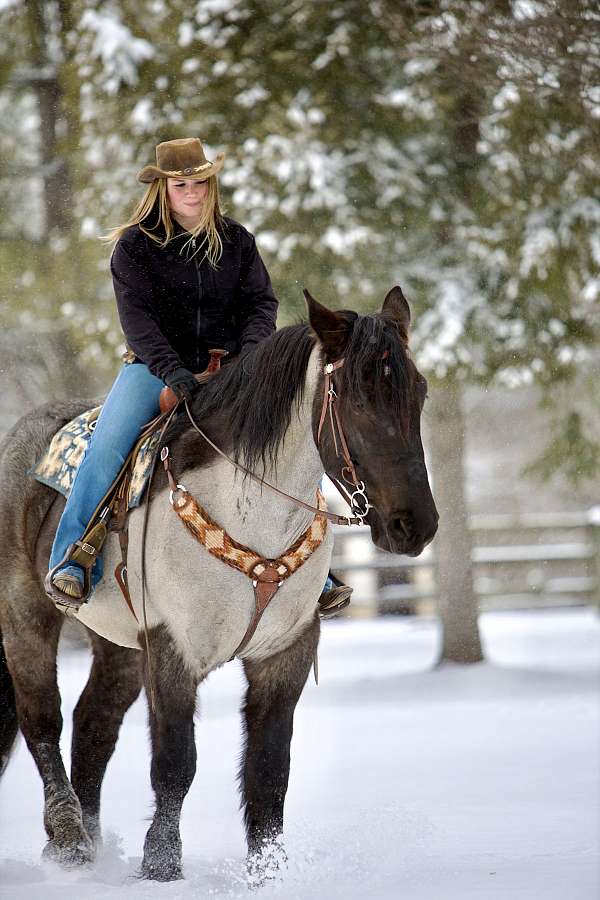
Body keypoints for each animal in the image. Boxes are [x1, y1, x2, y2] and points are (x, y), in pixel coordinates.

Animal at [0, 292, 436, 884]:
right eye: (356, 398)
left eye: (419, 391)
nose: (415, 525)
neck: (249, 513)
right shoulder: (172, 648)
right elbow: (175, 763)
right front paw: (161, 867)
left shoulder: (285, 654)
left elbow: (269, 771)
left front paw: (268, 874)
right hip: (25, 612)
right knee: (42, 717)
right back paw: (68, 841)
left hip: (118, 644)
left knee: (94, 724)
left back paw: (89, 841)